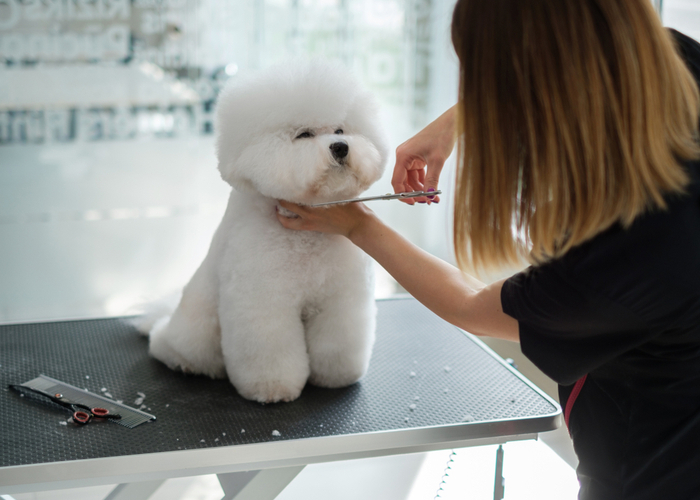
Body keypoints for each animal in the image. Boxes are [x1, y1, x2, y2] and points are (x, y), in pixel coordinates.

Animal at [135, 60, 388, 404]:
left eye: (340, 130)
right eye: (304, 134)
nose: (340, 147)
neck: (307, 239)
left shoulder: (342, 299)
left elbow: (338, 342)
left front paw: (336, 377)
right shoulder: (263, 303)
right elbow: (270, 350)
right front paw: (272, 388)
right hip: (196, 330)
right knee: (171, 346)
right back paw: (180, 358)